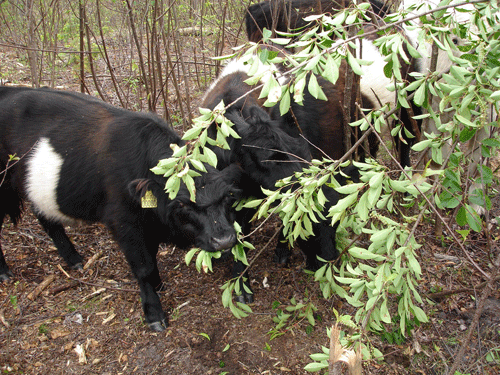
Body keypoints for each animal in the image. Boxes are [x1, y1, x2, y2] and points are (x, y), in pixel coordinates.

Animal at [0, 87, 242, 332]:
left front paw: (158, 283)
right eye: (183, 204)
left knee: (47, 220)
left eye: (226, 197)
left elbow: (152, 256)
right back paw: (4, 272)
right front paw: (154, 313)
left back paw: (74, 259)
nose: (224, 240)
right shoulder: (124, 223)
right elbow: (143, 267)